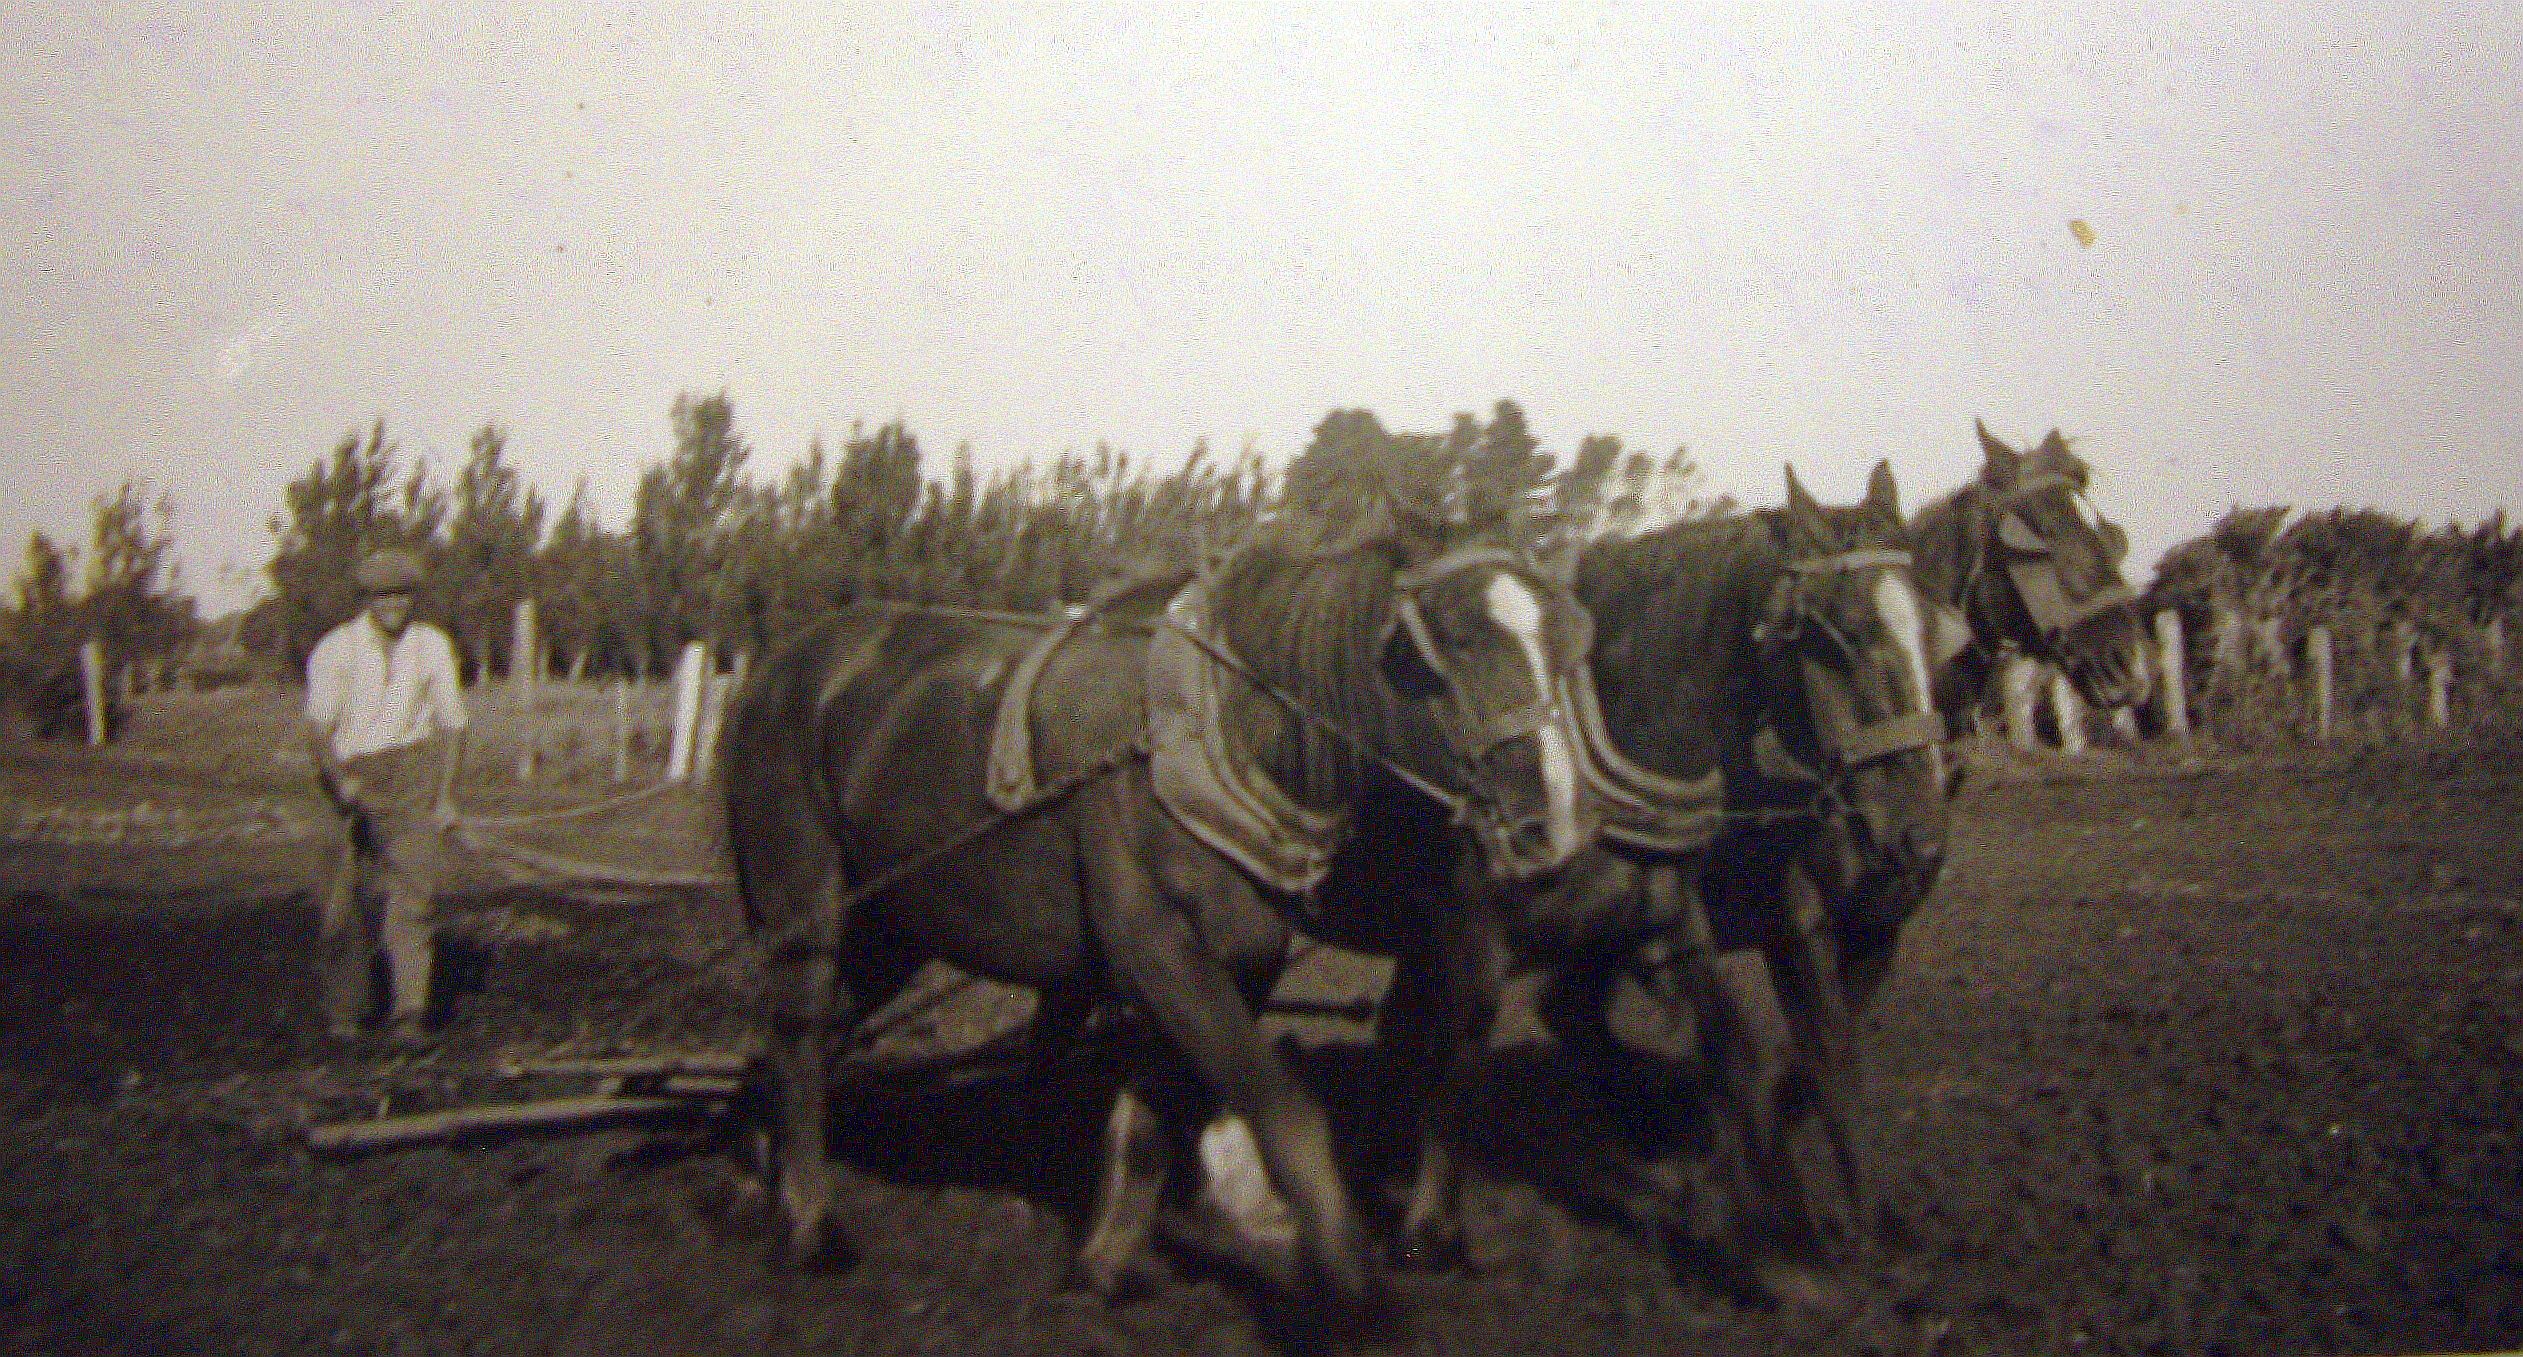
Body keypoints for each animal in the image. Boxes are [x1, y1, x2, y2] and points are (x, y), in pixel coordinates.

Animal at [721, 496, 1594, 1311]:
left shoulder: (1236, 958)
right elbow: (1283, 1107)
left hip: (891, 927)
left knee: (801, 1035)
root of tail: (780, 665)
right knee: (798, 1035)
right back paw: (810, 1221)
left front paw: (1103, 1261)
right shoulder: (1155, 944)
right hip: (806, 902)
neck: (1216, 730)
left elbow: (1152, 1117)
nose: (1551, 824)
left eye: (1564, 639)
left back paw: (760, 1166)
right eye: (1458, 638)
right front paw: (1341, 1262)